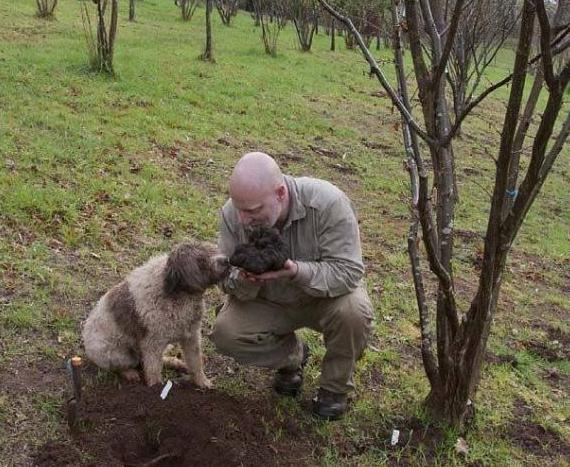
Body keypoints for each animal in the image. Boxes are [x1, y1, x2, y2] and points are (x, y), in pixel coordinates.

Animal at [82, 243, 229, 390]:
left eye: (209, 249)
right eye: (200, 261)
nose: (227, 260)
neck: (176, 293)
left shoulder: (191, 335)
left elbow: (195, 362)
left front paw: (203, 382)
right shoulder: (152, 343)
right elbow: (153, 371)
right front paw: (155, 387)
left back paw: (176, 363)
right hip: (117, 355)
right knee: (122, 366)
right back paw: (130, 373)